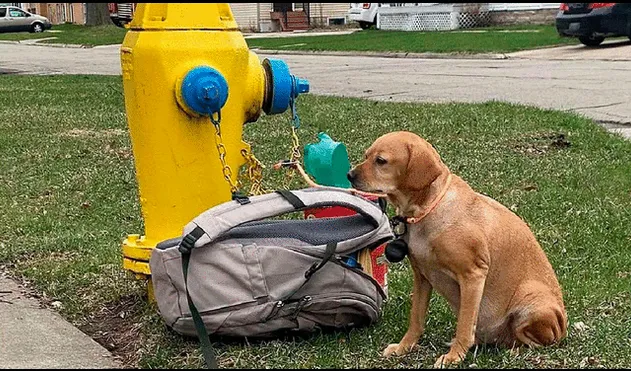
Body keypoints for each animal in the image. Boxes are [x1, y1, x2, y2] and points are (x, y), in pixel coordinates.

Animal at [348, 132, 572, 370]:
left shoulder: (473, 275)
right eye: (367, 155)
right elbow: (416, 319)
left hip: (533, 303)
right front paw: (403, 347)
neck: (427, 211)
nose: (349, 175)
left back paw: (514, 351)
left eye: (381, 161)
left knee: (536, 341)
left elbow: (464, 326)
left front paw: (454, 356)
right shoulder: (422, 277)